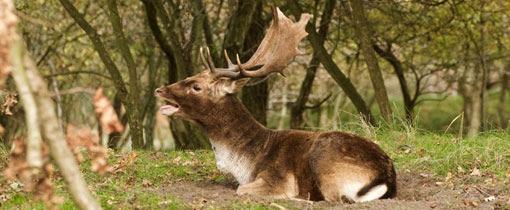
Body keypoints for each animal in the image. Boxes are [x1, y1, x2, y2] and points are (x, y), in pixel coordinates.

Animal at [153, 7, 396, 203]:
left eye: (196, 86)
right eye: (190, 76)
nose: (160, 90)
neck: (246, 164)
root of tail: (385, 178)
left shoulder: (277, 178)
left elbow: (241, 190)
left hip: (326, 163)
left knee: (336, 200)